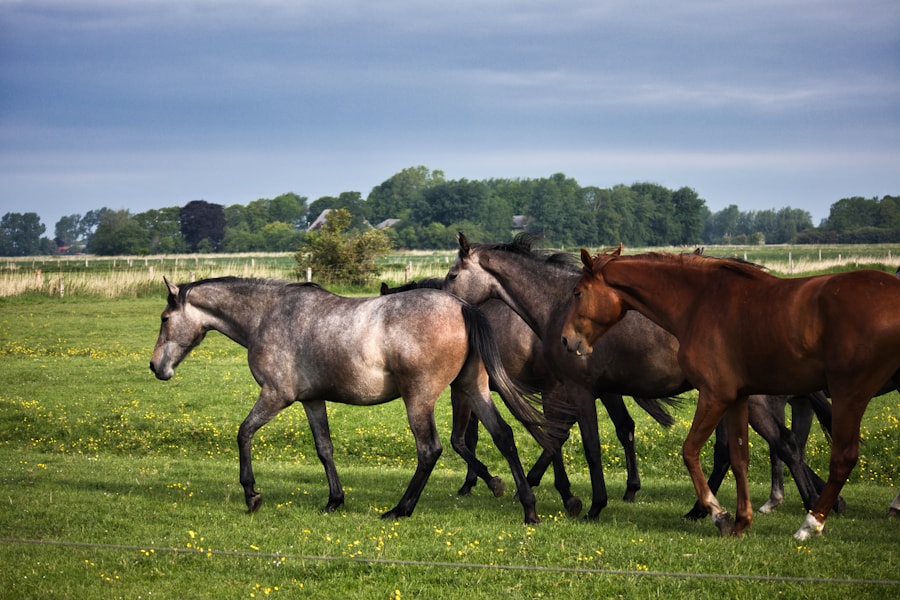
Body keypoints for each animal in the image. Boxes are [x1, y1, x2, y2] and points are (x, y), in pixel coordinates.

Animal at [149, 276, 554, 523]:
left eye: (165, 318)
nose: (156, 366)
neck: (269, 316)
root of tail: (462, 306)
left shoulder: (275, 396)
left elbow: (244, 433)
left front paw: (251, 494)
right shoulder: (312, 401)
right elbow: (324, 448)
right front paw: (334, 500)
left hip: (419, 399)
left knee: (431, 450)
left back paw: (400, 509)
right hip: (473, 388)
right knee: (504, 436)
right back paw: (527, 507)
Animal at [444, 233, 836, 521]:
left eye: (452, 275)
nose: (441, 302)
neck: (558, 304)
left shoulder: (575, 390)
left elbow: (584, 446)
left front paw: (590, 504)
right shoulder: (584, 391)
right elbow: (566, 438)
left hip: (751, 402)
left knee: (785, 444)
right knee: (764, 447)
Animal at [561, 247, 900, 539]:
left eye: (577, 293)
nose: (566, 340)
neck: (698, 302)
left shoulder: (715, 395)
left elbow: (690, 451)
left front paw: (718, 514)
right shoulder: (737, 399)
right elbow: (739, 458)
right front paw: (741, 520)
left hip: (849, 393)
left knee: (842, 457)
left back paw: (810, 524)